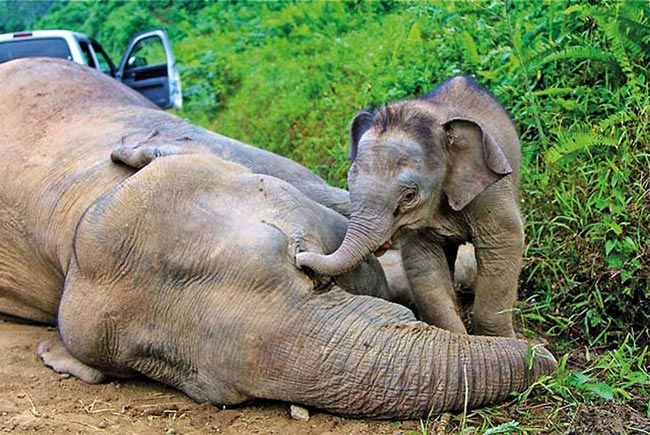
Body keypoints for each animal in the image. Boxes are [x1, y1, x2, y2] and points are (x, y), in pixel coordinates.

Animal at [297, 76, 524, 337]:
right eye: (349, 182)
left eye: (408, 195)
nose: (299, 259)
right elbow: (423, 265)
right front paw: (457, 338)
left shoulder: (490, 191)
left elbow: (504, 243)